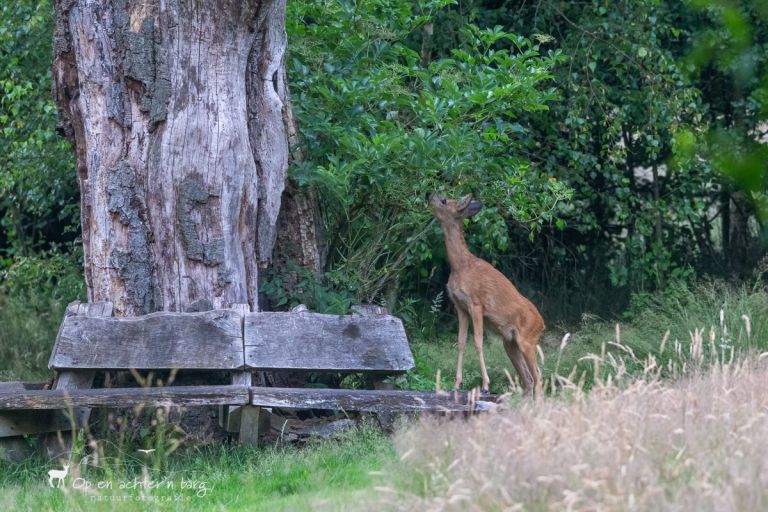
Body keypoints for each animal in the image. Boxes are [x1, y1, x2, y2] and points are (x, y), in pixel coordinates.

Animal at [426, 192, 544, 396]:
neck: (460, 267)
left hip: (528, 341)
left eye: (444, 200)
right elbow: (461, 343)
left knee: (538, 378)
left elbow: (478, 342)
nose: (428, 194)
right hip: (510, 344)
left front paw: (486, 386)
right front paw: (456, 384)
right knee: (529, 379)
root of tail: (543, 324)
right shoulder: (460, 307)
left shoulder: (476, 304)